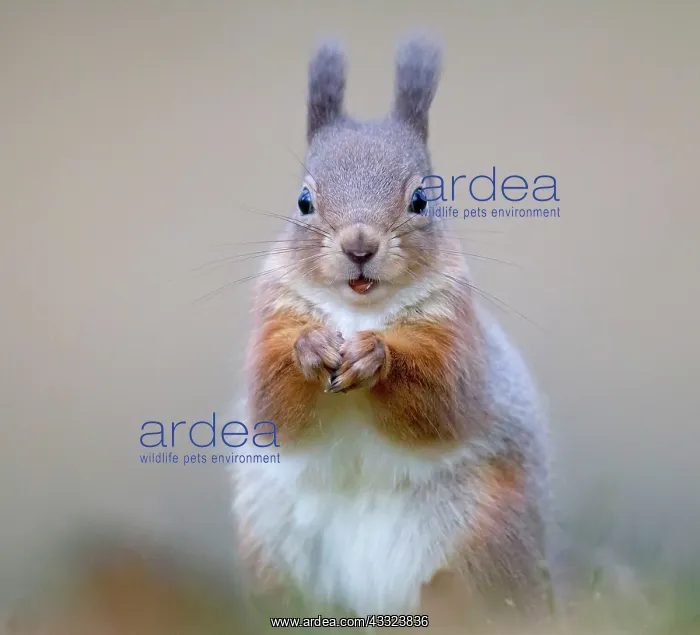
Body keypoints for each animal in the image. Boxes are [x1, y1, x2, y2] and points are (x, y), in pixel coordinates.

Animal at [230, 33, 554, 628]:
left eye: (421, 199)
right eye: (303, 201)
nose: (359, 246)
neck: (357, 311)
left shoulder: (454, 331)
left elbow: (442, 402)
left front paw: (374, 356)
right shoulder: (274, 315)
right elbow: (274, 407)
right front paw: (312, 347)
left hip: (481, 547)